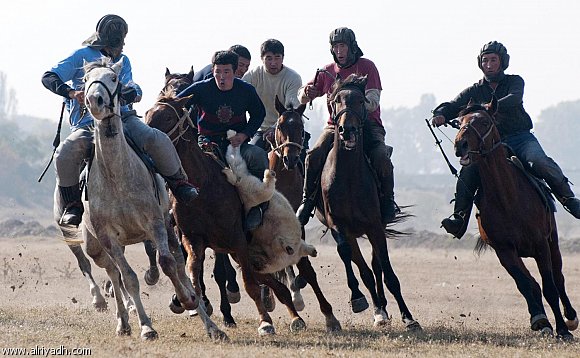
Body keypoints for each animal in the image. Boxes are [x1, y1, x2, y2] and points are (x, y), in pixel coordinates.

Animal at [81, 57, 224, 340]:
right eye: (85, 80)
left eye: (114, 77)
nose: (95, 100)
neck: (117, 177)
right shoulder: (108, 237)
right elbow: (127, 278)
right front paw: (145, 326)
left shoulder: (156, 223)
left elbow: (168, 263)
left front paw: (187, 300)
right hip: (98, 245)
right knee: (113, 272)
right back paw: (123, 322)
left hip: (168, 228)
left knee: (178, 264)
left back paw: (208, 321)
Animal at [145, 91, 312, 336]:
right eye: (148, 113)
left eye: (167, 117)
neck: (203, 185)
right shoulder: (193, 240)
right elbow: (194, 274)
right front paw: (195, 306)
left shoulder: (238, 241)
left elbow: (250, 285)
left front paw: (265, 322)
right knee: (275, 284)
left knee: (271, 281)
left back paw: (299, 317)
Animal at [314, 74, 420, 332]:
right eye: (336, 100)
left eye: (361, 100)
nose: (347, 130)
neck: (350, 177)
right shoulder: (338, 226)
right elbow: (350, 259)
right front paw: (358, 298)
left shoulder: (374, 227)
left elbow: (388, 273)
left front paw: (409, 318)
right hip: (352, 233)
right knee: (365, 269)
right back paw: (377, 309)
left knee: (376, 266)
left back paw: (384, 308)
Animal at [456, 100, 576, 338]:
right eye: (460, 120)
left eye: (485, 121)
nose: (460, 144)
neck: (507, 198)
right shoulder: (505, 251)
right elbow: (526, 285)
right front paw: (541, 321)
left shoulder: (541, 245)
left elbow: (550, 287)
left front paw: (561, 329)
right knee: (533, 284)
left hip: (553, 241)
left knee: (559, 278)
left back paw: (571, 318)